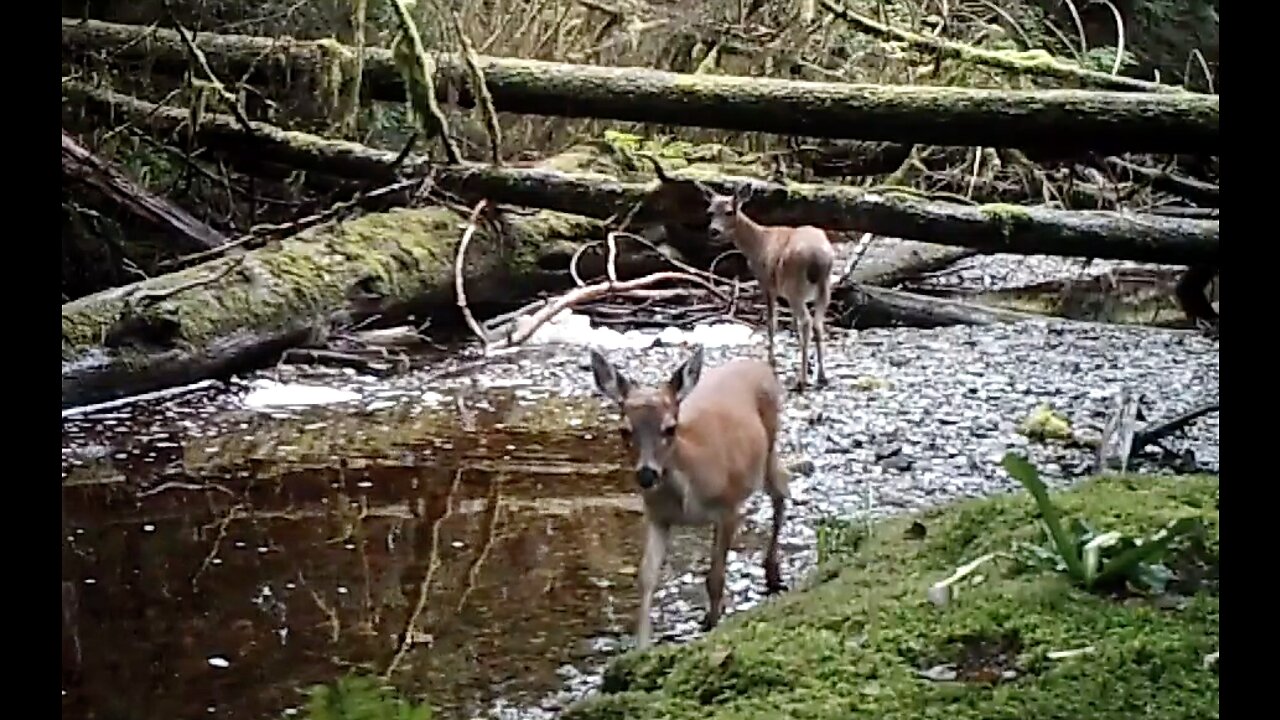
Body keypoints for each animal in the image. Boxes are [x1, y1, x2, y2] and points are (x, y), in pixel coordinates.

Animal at [588, 345, 788, 648]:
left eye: (670, 428)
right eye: (624, 430)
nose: (647, 475)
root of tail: (761, 365)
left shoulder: (729, 507)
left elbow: (715, 576)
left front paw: (713, 624)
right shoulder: (657, 516)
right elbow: (646, 576)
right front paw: (642, 644)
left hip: (768, 450)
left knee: (782, 492)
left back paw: (773, 575)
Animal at [696, 181, 834, 389]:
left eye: (730, 212)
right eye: (710, 212)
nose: (714, 231)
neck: (758, 244)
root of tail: (818, 259)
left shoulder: (767, 284)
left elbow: (771, 322)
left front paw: (772, 361)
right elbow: (792, 324)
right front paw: (808, 366)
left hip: (796, 287)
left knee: (807, 322)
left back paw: (801, 380)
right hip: (824, 288)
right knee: (817, 324)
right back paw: (821, 376)